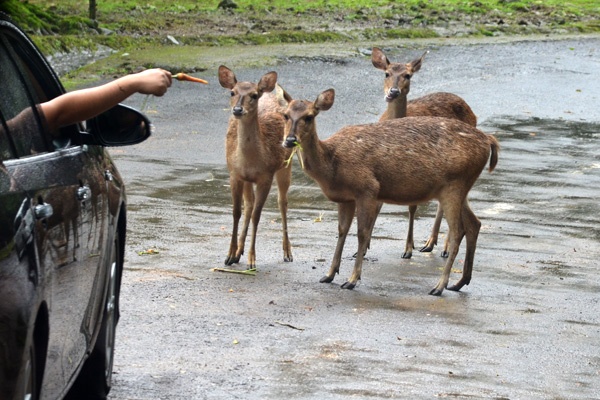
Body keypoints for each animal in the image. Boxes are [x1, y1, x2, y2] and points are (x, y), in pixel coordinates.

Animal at [220, 65, 296, 270]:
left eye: (254, 95)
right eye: (232, 92)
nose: (238, 109)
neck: (252, 161)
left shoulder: (265, 176)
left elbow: (257, 215)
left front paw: (252, 260)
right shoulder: (235, 174)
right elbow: (236, 212)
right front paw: (230, 255)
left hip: (286, 163)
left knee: (282, 202)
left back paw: (288, 252)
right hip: (248, 179)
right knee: (248, 204)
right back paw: (238, 252)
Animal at [284, 89, 500, 296]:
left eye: (309, 116)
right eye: (285, 114)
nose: (290, 140)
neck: (332, 165)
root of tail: (488, 140)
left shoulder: (368, 188)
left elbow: (362, 233)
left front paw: (352, 279)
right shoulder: (346, 198)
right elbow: (342, 231)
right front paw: (329, 274)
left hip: (454, 186)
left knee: (458, 231)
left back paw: (439, 286)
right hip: (460, 187)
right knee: (474, 224)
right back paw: (459, 282)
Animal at [370, 47, 478, 260]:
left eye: (408, 75)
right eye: (386, 73)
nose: (393, 92)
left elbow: (412, 206)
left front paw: (407, 249)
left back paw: (440, 246)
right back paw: (430, 243)